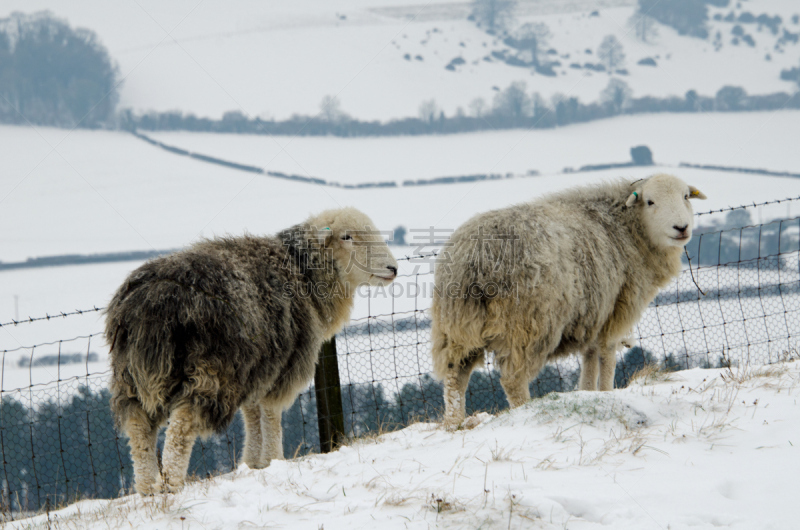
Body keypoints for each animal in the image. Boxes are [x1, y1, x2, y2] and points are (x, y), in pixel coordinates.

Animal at [106, 206, 396, 490]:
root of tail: (151, 301)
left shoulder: (257, 369)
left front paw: (254, 463)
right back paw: (171, 483)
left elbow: (253, 416)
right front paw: (275, 459)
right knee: (181, 424)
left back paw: (148, 489)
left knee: (138, 427)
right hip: (210, 369)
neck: (304, 271)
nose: (393, 268)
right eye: (347, 237)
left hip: (131, 374)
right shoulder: (284, 365)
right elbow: (270, 414)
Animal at [432, 175, 708, 426]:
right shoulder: (616, 308)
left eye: (685, 196)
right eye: (650, 201)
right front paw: (606, 392)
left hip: (458, 324)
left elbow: (589, 356)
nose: (681, 228)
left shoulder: (594, 313)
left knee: (455, 375)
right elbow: (606, 355)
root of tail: (476, 255)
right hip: (526, 323)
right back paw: (525, 412)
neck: (628, 229)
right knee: (512, 379)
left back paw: (454, 423)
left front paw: (587, 392)